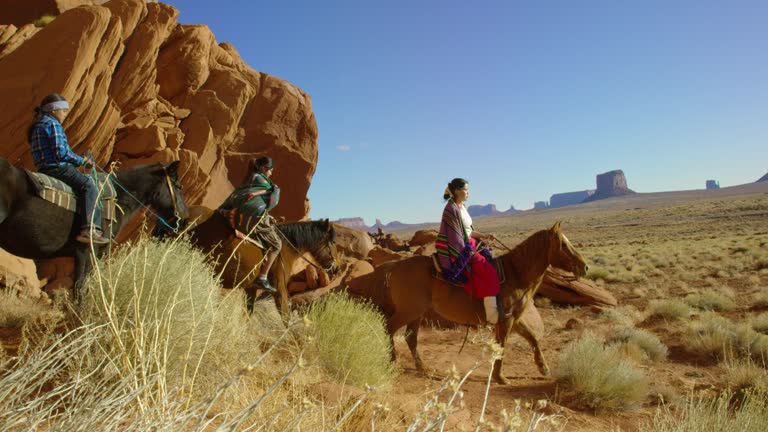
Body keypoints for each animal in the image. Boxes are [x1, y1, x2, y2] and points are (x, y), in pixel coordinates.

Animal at [186, 208, 336, 316]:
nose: (333, 265)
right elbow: (286, 318)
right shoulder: (280, 290)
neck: (286, 247)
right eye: (331, 243)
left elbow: (248, 314)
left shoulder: (251, 289)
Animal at [356, 223, 592, 384]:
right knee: (390, 327)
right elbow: (502, 347)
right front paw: (500, 377)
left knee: (410, 338)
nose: (585, 266)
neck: (516, 274)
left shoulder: (512, 318)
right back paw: (393, 361)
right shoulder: (506, 321)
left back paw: (423, 369)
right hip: (410, 311)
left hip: (417, 313)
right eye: (563, 245)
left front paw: (543, 369)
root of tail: (394, 266)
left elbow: (532, 338)